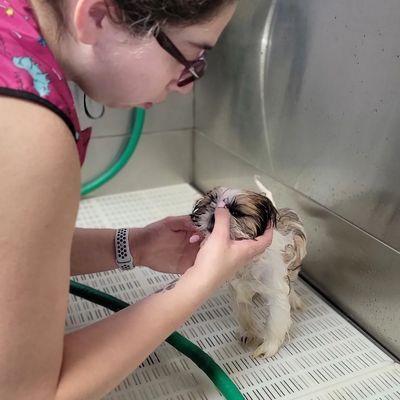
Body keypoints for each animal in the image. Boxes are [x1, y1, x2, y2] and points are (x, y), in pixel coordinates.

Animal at [191, 177, 306, 358]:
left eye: (236, 212)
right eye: (211, 203)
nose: (215, 214)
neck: (248, 264)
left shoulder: (276, 291)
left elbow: (275, 320)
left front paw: (268, 347)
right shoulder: (238, 289)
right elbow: (244, 315)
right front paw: (249, 333)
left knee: (292, 283)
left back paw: (294, 299)